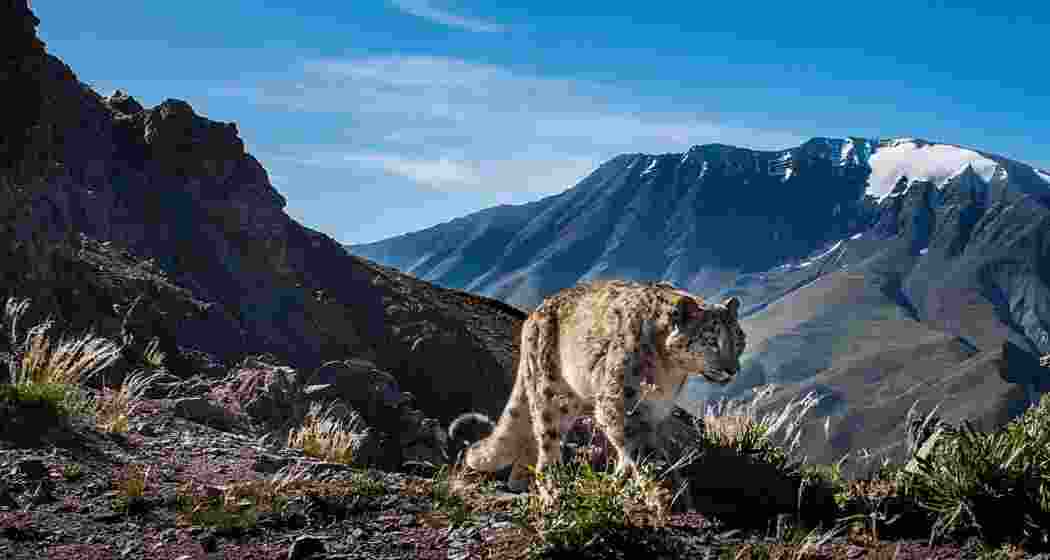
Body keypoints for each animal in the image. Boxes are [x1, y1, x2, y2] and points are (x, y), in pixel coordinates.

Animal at [450, 279, 746, 492]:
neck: (670, 373)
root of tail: (532, 317)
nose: (733, 370)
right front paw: (665, 494)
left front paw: (620, 483)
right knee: (547, 447)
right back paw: (552, 493)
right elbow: (645, 452)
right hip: (551, 394)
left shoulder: (653, 411)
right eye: (711, 341)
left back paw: (521, 481)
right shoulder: (620, 404)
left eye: (739, 340)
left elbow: (631, 452)